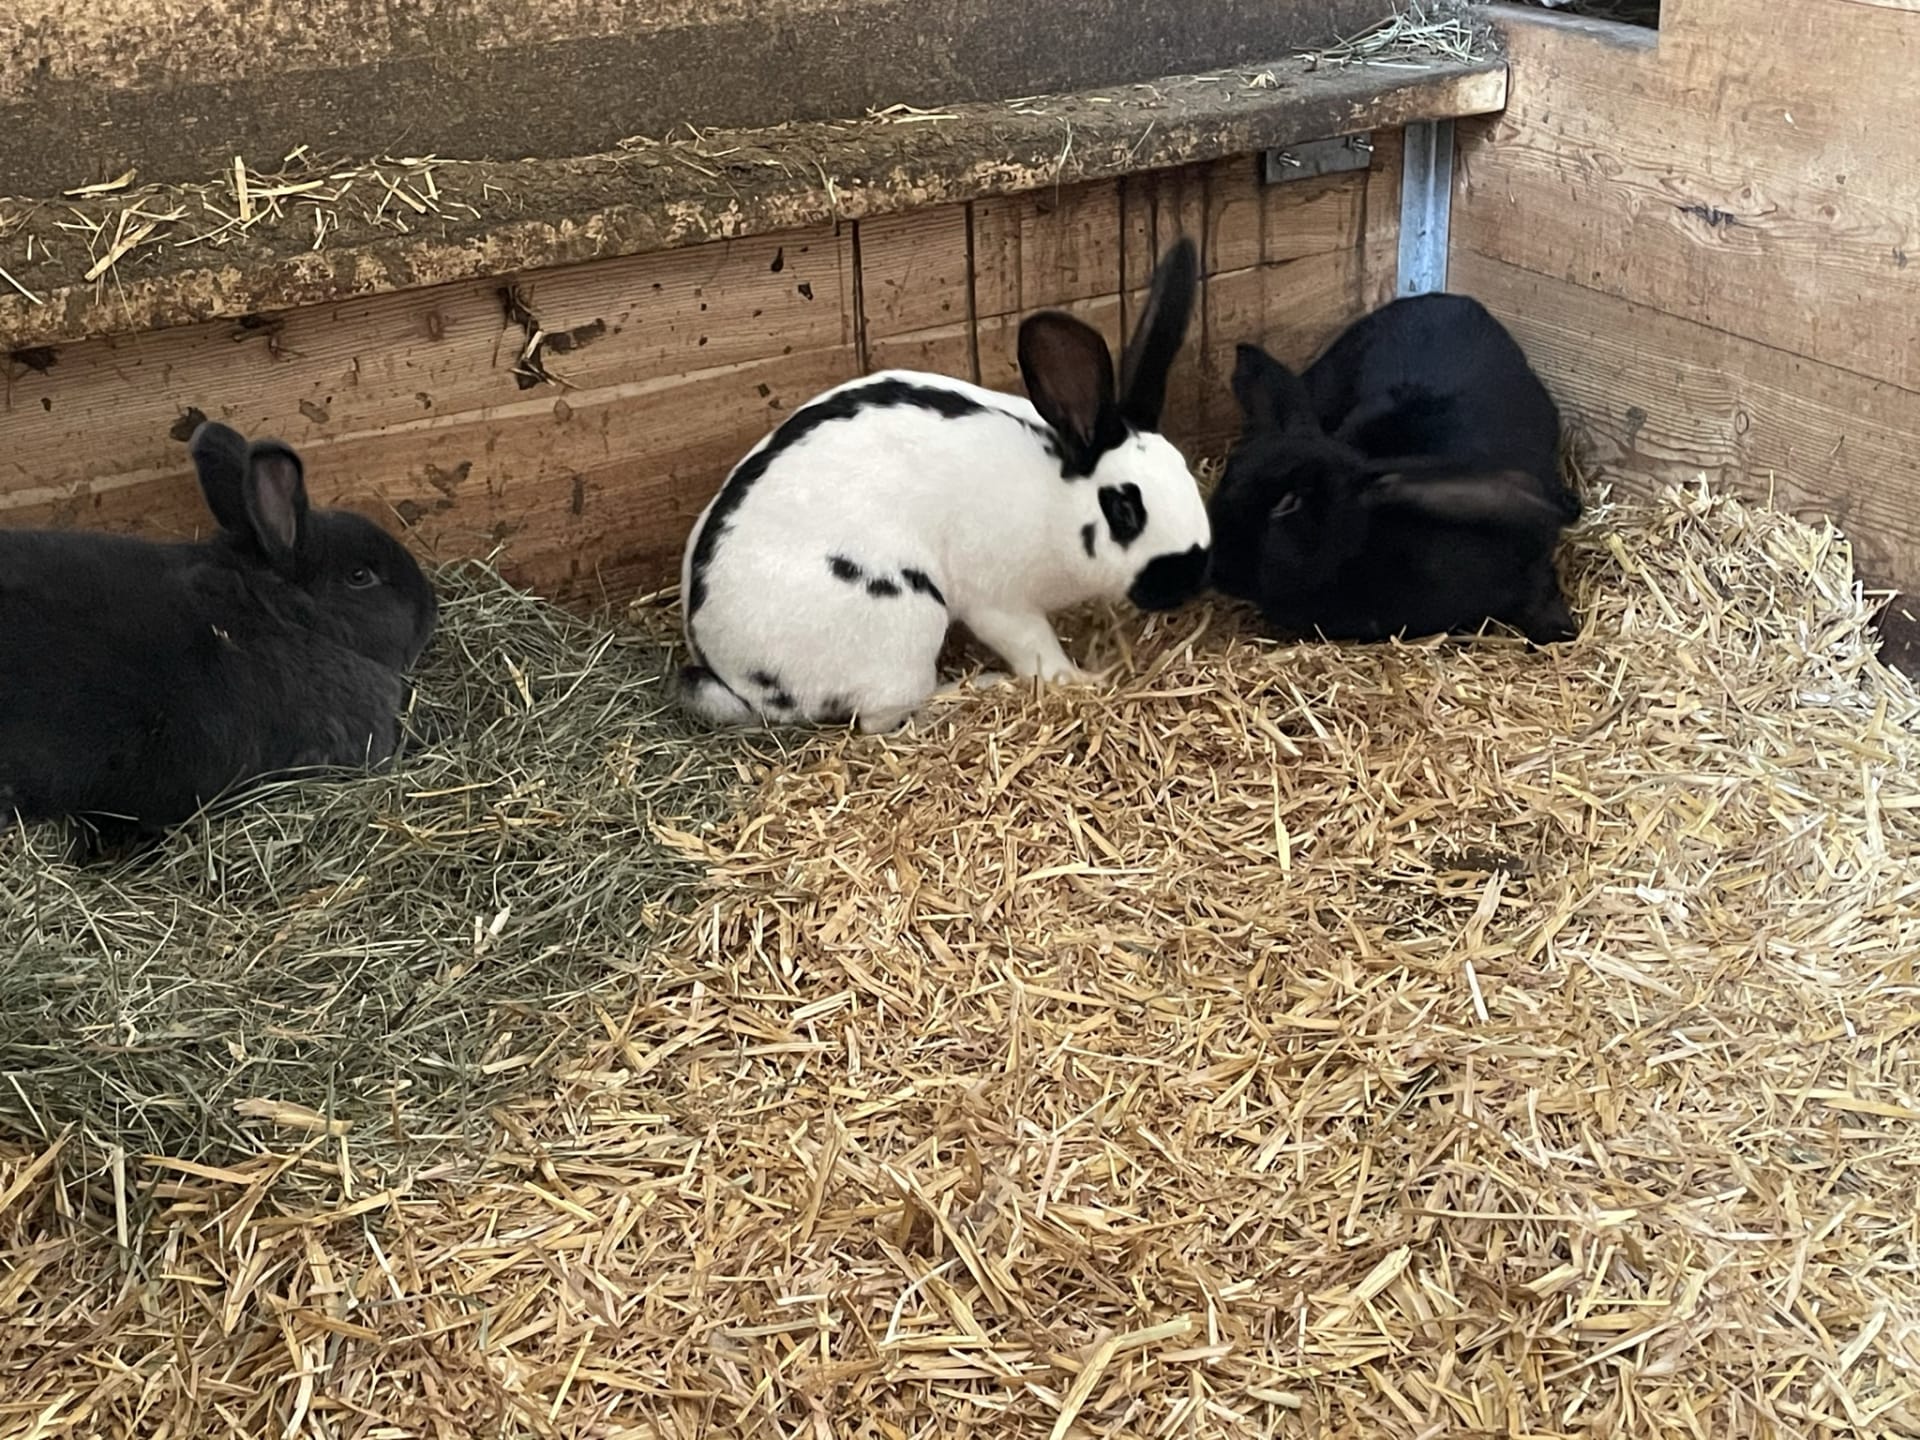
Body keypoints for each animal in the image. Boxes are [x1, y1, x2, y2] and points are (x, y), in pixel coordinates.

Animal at [678, 237, 1212, 734]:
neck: (1055, 501)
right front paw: (1081, 681)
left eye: (1187, 472)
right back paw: (975, 689)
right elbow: (1035, 648)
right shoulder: (1000, 601)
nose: (1188, 578)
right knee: (881, 718)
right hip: (904, 620)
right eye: (1124, 509)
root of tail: (734, 679)